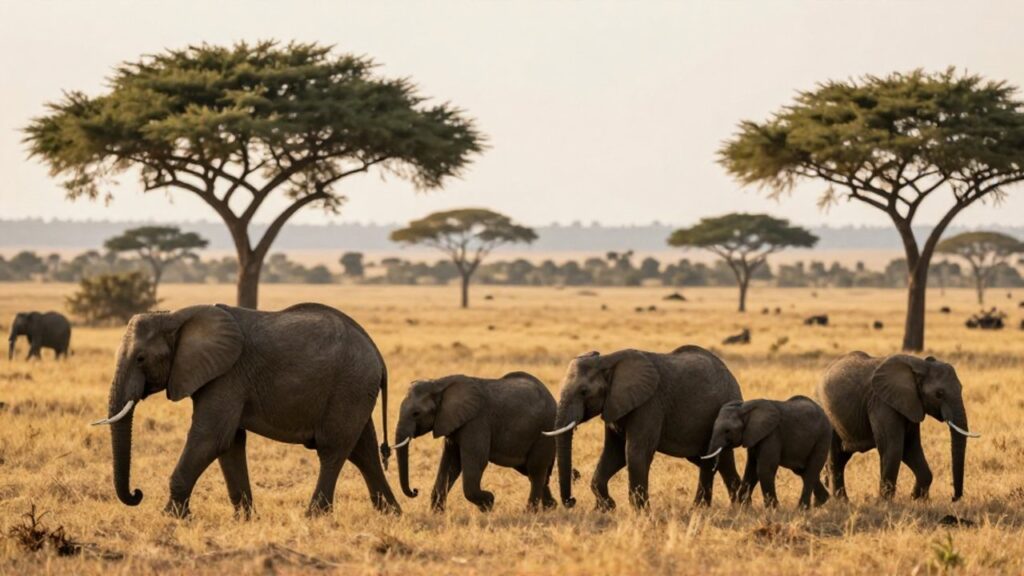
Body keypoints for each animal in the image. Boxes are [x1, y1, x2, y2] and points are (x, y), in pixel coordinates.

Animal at [91, 303, 400, 518]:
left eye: (141, 358)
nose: (137, 493)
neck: (175, 316)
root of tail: (378, 355)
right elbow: (229, 444)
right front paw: (245, 519)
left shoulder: (227, 375)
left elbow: (211, 438)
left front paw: (170, 518)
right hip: (355, 391)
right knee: (364, 451)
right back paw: (391, 515)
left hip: (349, 387)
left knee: (333, 451)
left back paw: (315, 516)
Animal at [394, 372, 556, 512]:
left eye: (416, 413)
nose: (415, 490)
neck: (439, 384)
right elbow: (451, 464)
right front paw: (436, 515)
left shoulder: (476, 422)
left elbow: (476, 461)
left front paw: (488, 503)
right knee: (532, 471)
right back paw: (550, 507)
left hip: (544, 430)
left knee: (535, 471)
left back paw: (530, 513)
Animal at [544, 346, 743, 510]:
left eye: (584, 391)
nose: (572, 501)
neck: (608, 361)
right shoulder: (615, 405)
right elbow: (614, 453)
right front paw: (607, 508)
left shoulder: (649, 404)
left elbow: (635, 452)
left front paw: (640, 512)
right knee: (713, 461)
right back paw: (726, 506)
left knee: (720, 459)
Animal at [702, 396, 831, 509]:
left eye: (727, 431)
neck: (744, 409)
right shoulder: (753, 436)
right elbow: (751, 469)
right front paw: (744, 507)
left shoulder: (772, 434)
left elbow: (764, 469)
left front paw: (774, 510)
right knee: (802, 471)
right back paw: (821, 502)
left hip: (823, 438)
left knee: (810, 471)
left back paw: (802, 509)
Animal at [817, 352, 979, 502]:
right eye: (939, 394)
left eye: (961, 388)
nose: (953, 498)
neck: (920, 365)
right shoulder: (882, 403)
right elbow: (893, 447)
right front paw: (885, 503)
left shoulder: (911, 404)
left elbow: (910, 447)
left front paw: (917, 500)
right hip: (827, 415)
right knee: (836, 459)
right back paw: (842, 502)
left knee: (842, 458)